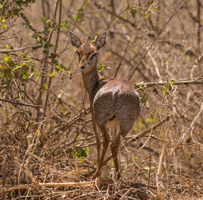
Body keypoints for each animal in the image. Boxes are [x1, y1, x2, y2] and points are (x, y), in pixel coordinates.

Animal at [69, 31, 140, 180]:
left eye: (94, 53)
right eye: (79, 51)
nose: (82, 66)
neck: (96, 84)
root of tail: (117, 90)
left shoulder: (94, 117)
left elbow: (97, 140)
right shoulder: (115, 125)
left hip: (100, 119)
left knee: (105, 140)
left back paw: (96, 173)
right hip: (127, 124)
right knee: (115, 144)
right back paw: (118, 177)